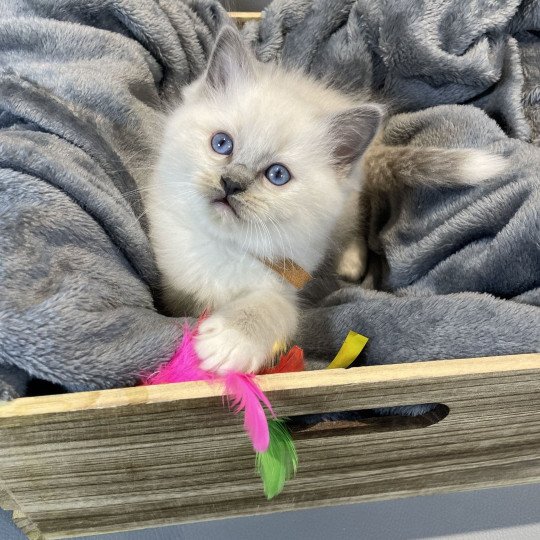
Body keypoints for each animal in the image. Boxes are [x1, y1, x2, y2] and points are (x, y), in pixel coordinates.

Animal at [148, 27, 382, 374]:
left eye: (277, 175)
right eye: (222, 144)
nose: (232, 183)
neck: (224, 246)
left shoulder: (284, 287)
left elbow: (271, 308)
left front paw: (226, 342)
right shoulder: (174, 282)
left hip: (346, 210)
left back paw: (350, 264)